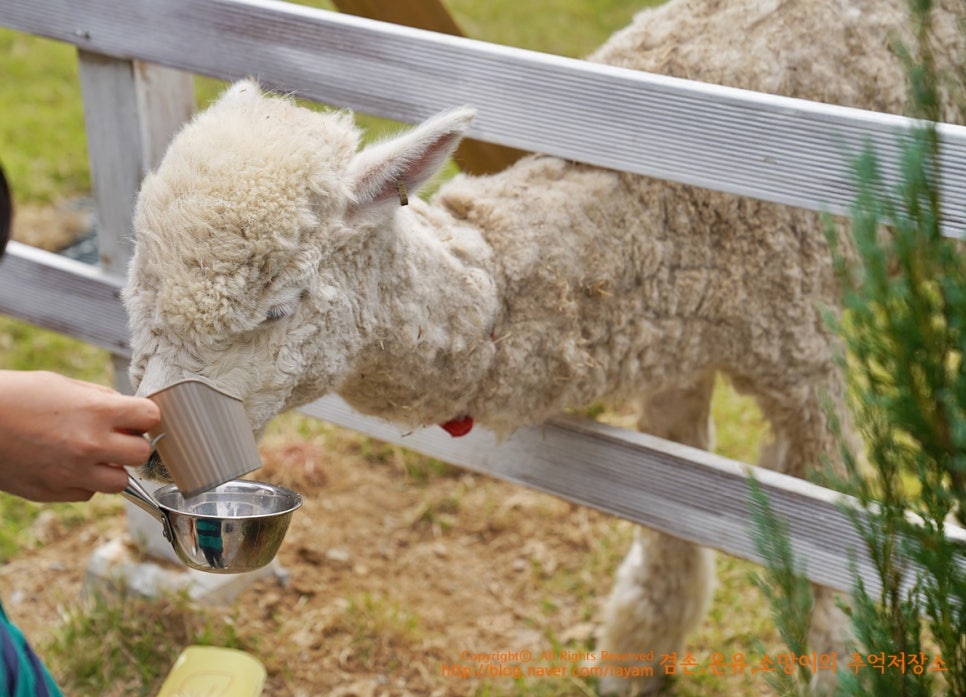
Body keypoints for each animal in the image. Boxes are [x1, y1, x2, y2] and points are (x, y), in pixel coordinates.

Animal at [125, 2, 964, 692]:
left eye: (278, 307)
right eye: (140, 294)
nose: (158, 448)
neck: (662, 210)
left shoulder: (805, 354)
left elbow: (833, 557)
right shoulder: (680, 345)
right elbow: (672, 531)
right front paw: (638, 660)